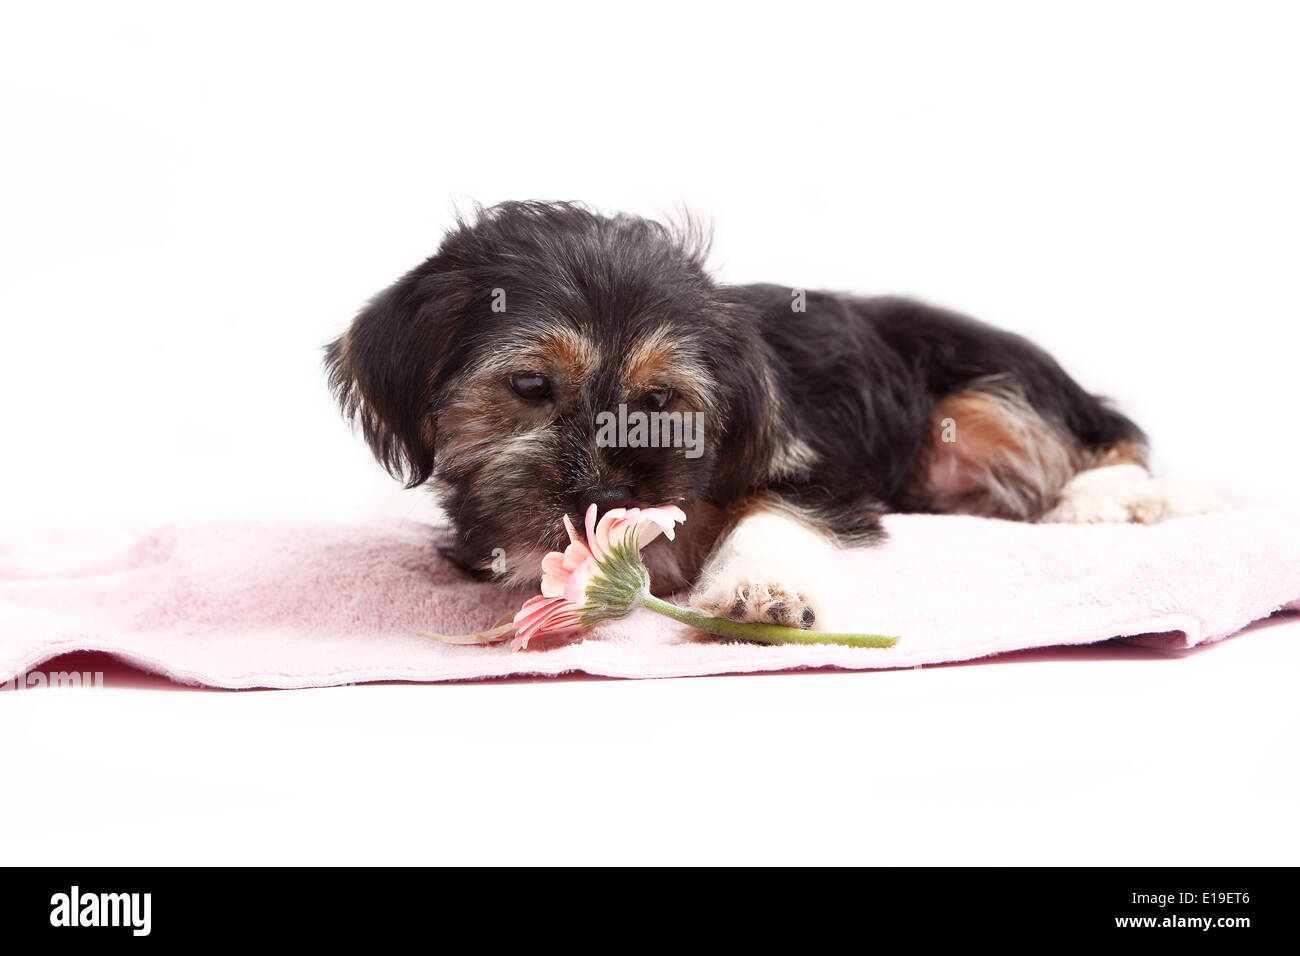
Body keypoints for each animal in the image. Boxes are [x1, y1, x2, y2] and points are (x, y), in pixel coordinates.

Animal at [330, 201, 1222, 632]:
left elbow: (777, 513)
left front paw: (761, 590)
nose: (606, 496)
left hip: (989, 391)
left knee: (1101, 440)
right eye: (527, 385)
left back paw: (1117, 499)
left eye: (662, 401)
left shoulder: (816, 470)